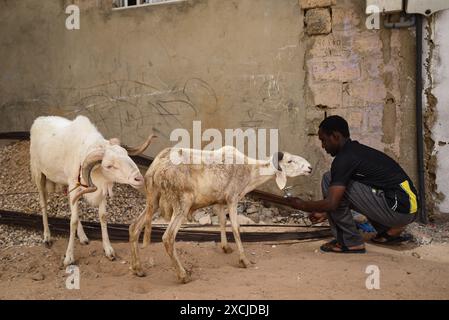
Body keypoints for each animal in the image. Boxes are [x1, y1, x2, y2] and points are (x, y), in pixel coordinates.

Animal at [29, 115, 156, 264]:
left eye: (126, 155)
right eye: (109, 166)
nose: (138, 178)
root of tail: (39, 120)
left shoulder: (99, 190)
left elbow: (102, 216)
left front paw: (109, 250)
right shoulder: (75, 185)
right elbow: (73, 221)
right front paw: (69, 257)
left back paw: (83, 237)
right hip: (39, 175)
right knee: (43, 203)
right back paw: (47, 237)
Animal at [129, 145, 312, 282]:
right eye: (290, 161)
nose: (310, 168)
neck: (251, 171)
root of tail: (156, 167)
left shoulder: (219, 202)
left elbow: (222, 222)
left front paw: (225, 247)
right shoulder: (232, 199)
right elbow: (236, 228)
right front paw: (244, 260)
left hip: (154, 201)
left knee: (134, 227)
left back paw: (138, 269)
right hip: (182, 204)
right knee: (168, 238)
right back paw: (182, 275)